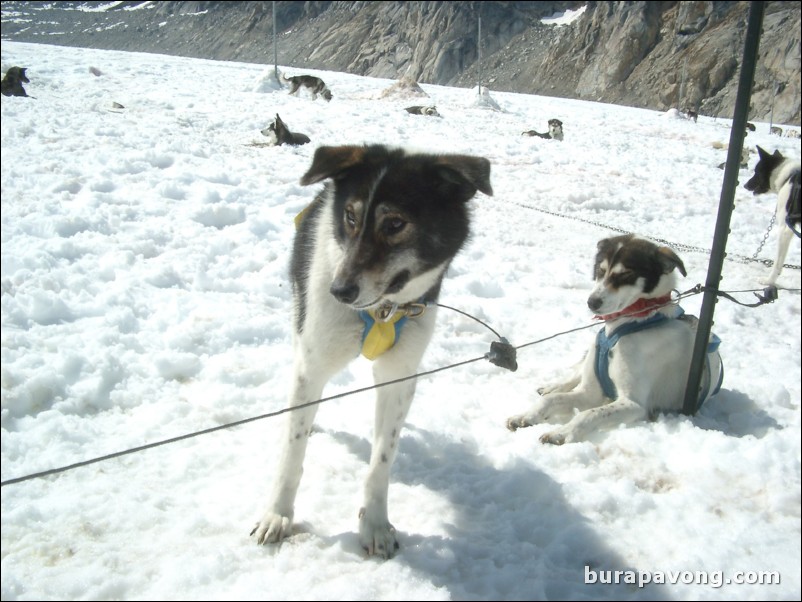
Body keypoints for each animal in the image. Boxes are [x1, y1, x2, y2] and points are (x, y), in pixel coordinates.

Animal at [250, 143, 490, 556]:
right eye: (350, 216)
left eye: (394, 224)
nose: (339, 290)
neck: (381, 313)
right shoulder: (313, 362)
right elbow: (292, 454)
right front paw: (277, 514)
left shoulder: (399, 375)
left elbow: (382, 459)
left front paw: (375, 524)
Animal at [506, 234, 724, 446]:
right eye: (600, 270)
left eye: (625, 275)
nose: (592, 302)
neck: (633, 324)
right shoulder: (590, 392)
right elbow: (551, 400)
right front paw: (527, 416)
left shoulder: (634, 404)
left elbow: (588, 414)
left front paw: (563, 432)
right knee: (573, 376)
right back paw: (554, 386)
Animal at [740, 146, 796, 286]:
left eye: (756, 172)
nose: (745, 185)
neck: (786, 177)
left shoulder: (785, 230)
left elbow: (777, 263)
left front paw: (769, 281)